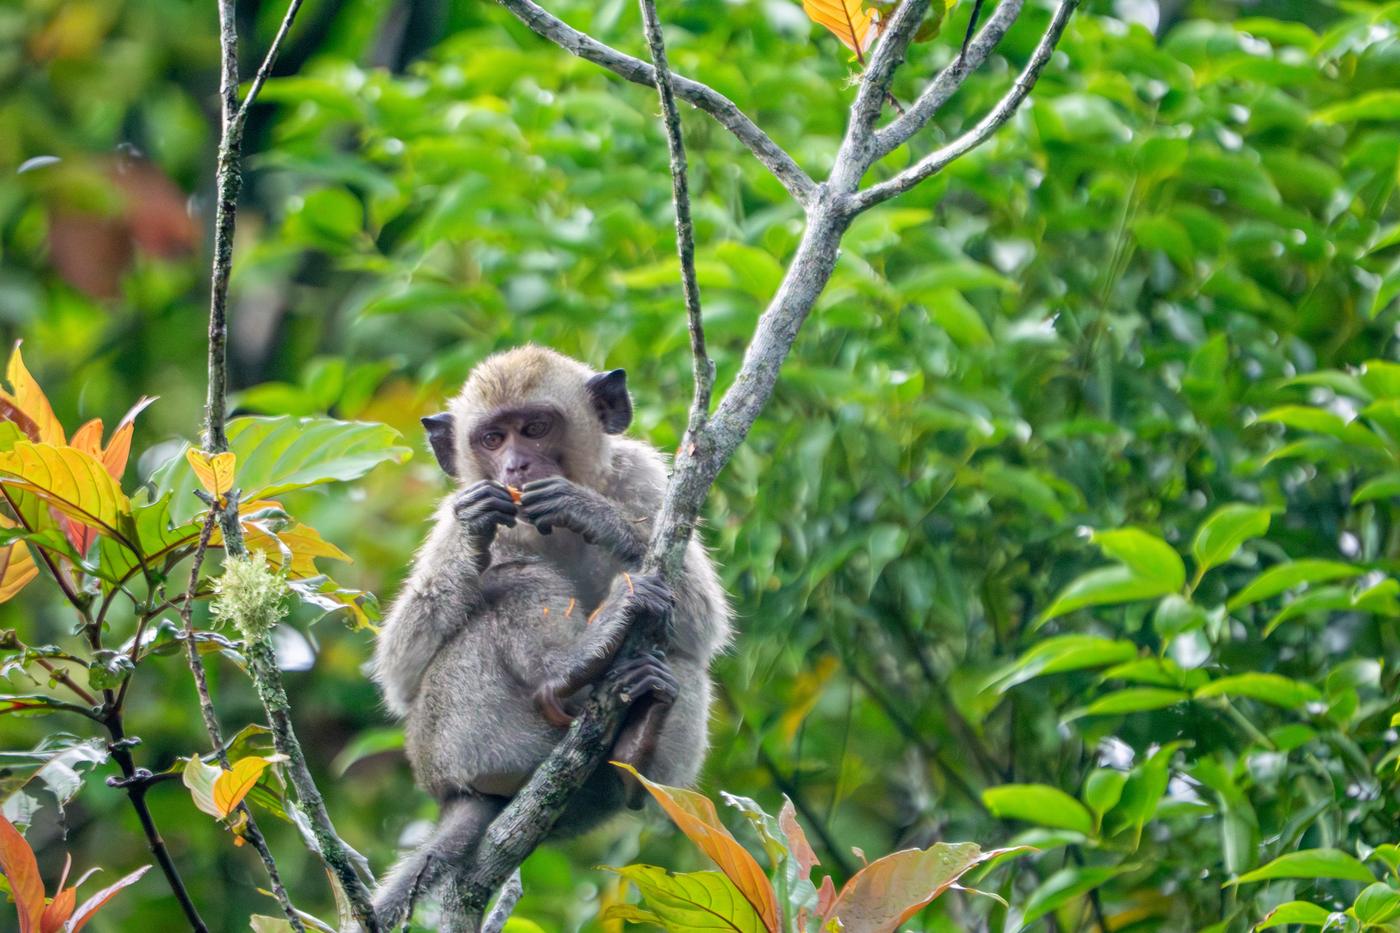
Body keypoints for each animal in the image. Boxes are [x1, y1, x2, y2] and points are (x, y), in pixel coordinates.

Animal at [368, 346, 730, 928]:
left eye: (536, 429)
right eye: (492, 439)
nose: (517, 466)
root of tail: (449, 792)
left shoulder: (645, 478)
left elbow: (702, 622)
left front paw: (588, 511)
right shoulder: (452, 512)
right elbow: (399, 670)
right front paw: (475, 530)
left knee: (676, 654)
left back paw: (635, 749)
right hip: (457, 742)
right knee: (512, 581)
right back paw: (572, 663)